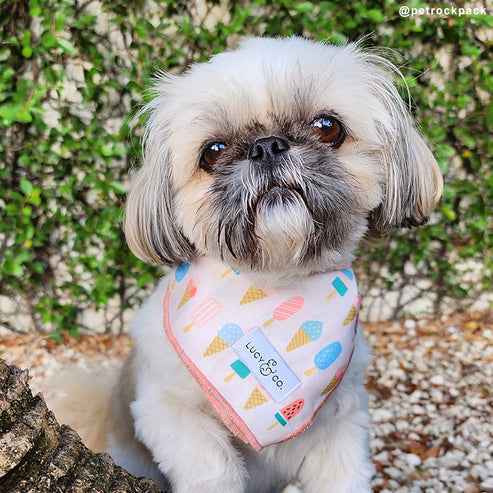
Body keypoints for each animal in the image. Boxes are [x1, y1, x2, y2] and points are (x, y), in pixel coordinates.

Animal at [50, 37, 442, 492]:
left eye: (328, 127)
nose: (267, 146)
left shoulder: (341, 424)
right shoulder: (168, 410)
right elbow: (213, 467)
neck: (273, 286)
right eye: (213, 151)